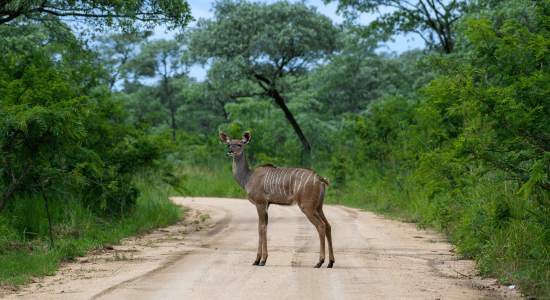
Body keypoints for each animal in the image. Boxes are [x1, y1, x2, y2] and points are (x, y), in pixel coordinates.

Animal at [220, 130, 336, 268]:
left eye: (239, 144)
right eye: (229, 144)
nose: (230, 151)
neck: (248, 177)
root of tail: (321, 179)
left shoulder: (260, 203)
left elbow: (261, 227)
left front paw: (261, 260)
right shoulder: (267, 204)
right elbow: (262, 227)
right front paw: (258, 260)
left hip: (307, 206)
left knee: (321, 226)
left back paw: (319, 262)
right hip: (318, 206)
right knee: (328, 225)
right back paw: (330, 262)